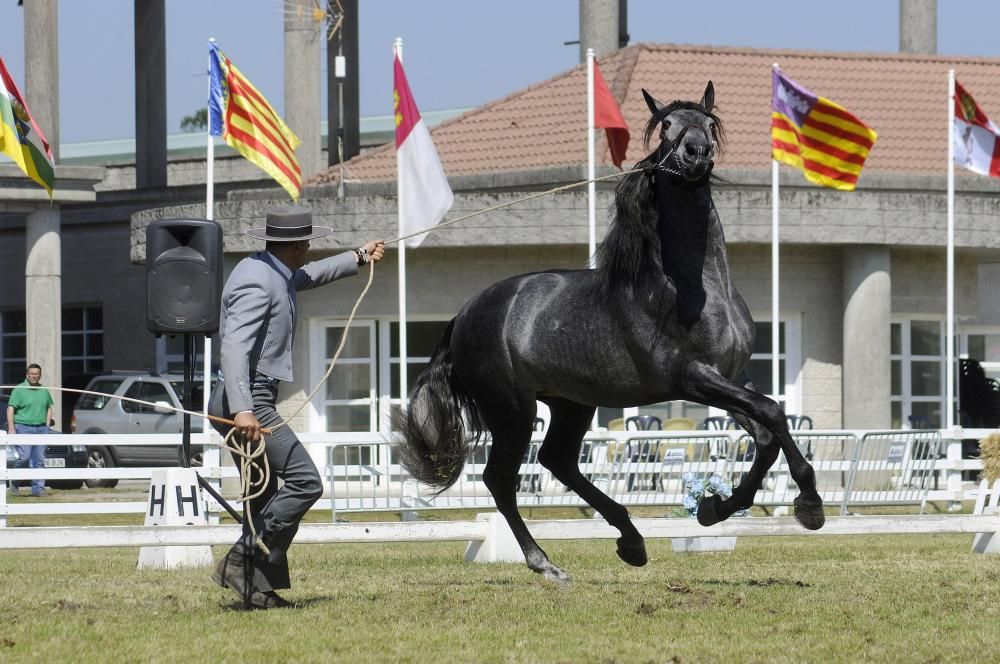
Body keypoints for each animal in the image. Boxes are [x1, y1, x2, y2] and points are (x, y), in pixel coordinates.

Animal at [394, 81, 824, 580]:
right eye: (666, 126)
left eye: (708, 122)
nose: (696, 154)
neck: (694, 287)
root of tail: (463, 315)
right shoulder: (693, 378)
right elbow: (773, 413)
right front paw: (809, 505)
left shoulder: (730, 380)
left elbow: (767, 434)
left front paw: (714, 509)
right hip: (512, 409)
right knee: (500, 478)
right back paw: (546, 563)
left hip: (572, 403)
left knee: (557, 460)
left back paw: (631, 540)